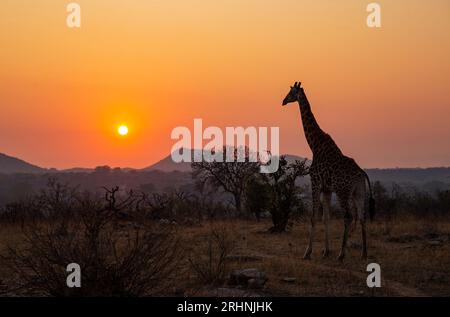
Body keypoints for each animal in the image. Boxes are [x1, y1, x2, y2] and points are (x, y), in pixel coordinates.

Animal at [284, 81, 374, 260]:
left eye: (291, 92)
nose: (283, 101)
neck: (314, 144)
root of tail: (361, 174)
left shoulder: (315, 182)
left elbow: (313, 217)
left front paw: (307, 252)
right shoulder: (327, 189)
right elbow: (327, 218)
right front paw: (326, 251)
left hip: (342, 191)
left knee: (348, 216)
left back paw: (341, 254)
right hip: (358, 192)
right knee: (362, 218)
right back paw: (364, 253)